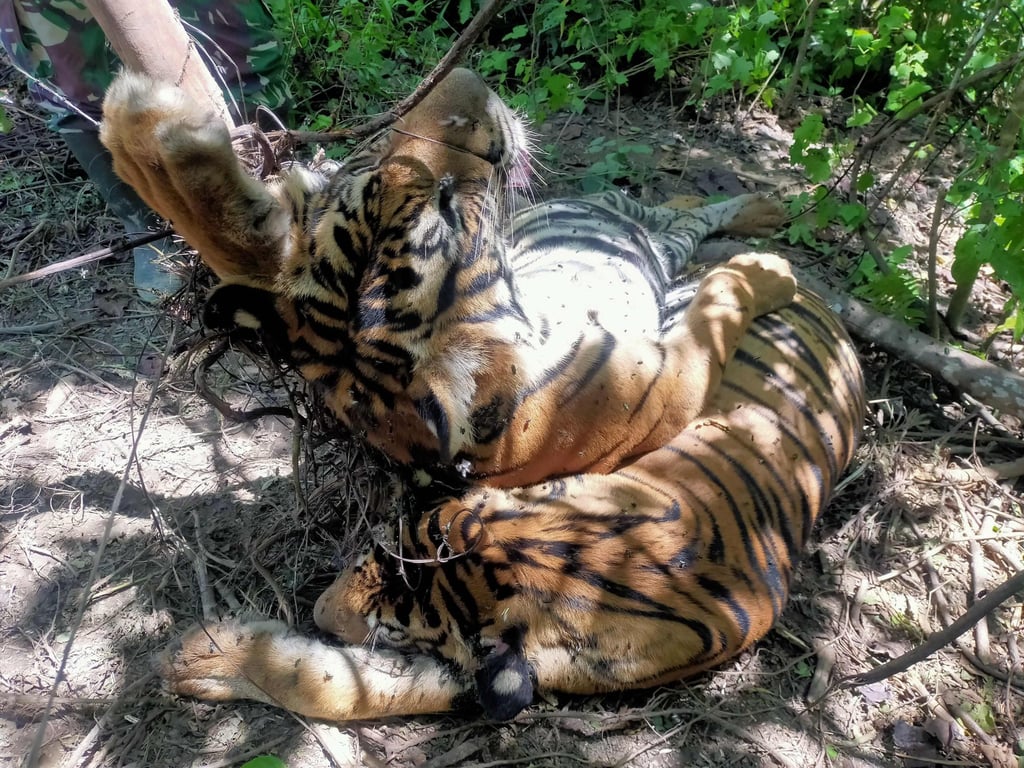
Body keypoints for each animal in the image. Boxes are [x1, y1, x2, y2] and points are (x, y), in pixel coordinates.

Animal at [100, 67, 796, 488]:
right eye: (447, 203)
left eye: (366, 157)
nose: (469, 79)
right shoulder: (674, 378)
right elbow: (719, 307)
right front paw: (766, 273)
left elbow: (241, 237)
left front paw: (150, 132)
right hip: (641, 237)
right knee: (681, 226)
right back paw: (763, 223)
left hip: (607, 210)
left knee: (669, 210)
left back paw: (763, 207)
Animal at [159, 287, 865, 722]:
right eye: (371, 555)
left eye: (393, 630)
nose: (315, 611)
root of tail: (830, 310)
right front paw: (204, 658)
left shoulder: (483, 665)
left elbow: (356, 689)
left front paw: (203, 659)